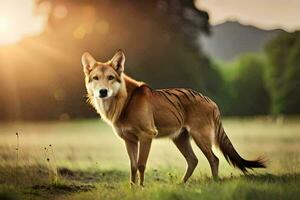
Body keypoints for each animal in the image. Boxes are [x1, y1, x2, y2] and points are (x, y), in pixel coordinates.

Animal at [81, 49, 264, 186]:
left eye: (111, 77)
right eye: (95, 78)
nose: (102, 92)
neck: (126, 101)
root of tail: (210, 101)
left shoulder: (146, 136)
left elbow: (141, 165)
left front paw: (141, 188)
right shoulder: (129, 140)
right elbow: (133, 167)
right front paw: (133, 189)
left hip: (200, 137)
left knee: (214, 159)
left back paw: (214, 182)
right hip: (180, 139)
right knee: (193, 160)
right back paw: (181, 184)